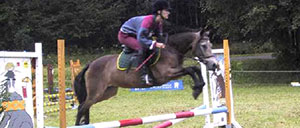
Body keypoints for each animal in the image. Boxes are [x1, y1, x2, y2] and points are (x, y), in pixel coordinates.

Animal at [73, 30, 218, 125]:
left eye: (211, 46)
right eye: (204, 46)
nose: (214, 64)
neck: (171, 50)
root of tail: (91, 64)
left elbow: (195, 69)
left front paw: (198, 88)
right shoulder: (166, 75)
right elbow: (190, 69)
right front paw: (196, 90)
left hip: (107, 92)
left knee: (86, 107)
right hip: (96, 92)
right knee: (81, 108)